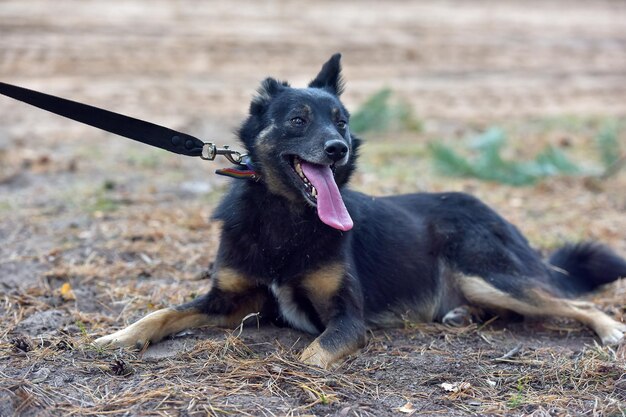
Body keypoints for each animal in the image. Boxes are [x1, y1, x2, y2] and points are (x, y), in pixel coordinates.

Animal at [92, 53, 624, 366]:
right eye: (298, 119)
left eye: (342, 121)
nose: (337, 149)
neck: (286, 220)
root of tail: (493, 212)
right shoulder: (228, 303)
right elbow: (162, 312)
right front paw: (119, 337)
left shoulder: (347, 319)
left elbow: (311, 355)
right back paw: (461, 316)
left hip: (486, 273)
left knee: (570, 302)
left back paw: (610, 329)